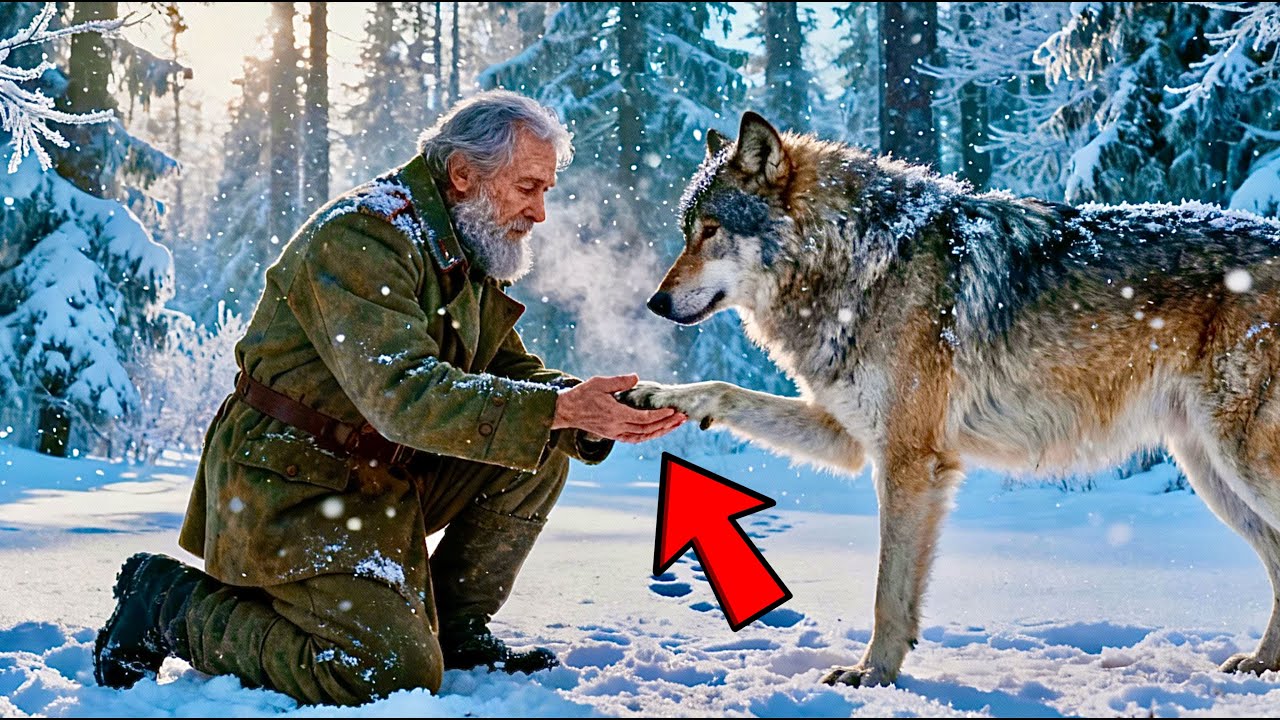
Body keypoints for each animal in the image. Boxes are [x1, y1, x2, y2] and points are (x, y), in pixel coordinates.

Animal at [622, 111, 1280, 686]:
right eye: (686, 232)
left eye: (711, 231)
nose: (655, 303)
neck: (858, 262)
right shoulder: (850, 437)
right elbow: (724, 389)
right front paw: (656, 395)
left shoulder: (910, 461)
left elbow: (888, 592)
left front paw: (872, 675)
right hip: (1210, 470)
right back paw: (1261, 664)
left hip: (1238, 463)